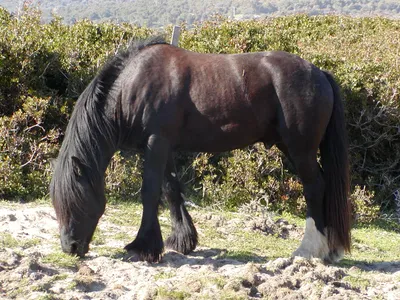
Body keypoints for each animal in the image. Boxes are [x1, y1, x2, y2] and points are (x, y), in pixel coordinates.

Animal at [49, 37, 350, 262]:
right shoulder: (162, 146)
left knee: (315, 188)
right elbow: (171, 190)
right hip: (289, 147)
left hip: (301, 150)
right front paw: (182, 240)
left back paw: (309, 250)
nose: (70, 247)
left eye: (75, 198)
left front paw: (143, 246)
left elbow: (150, 192)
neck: (132, 85)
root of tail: (318, 73)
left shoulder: (156, 142)